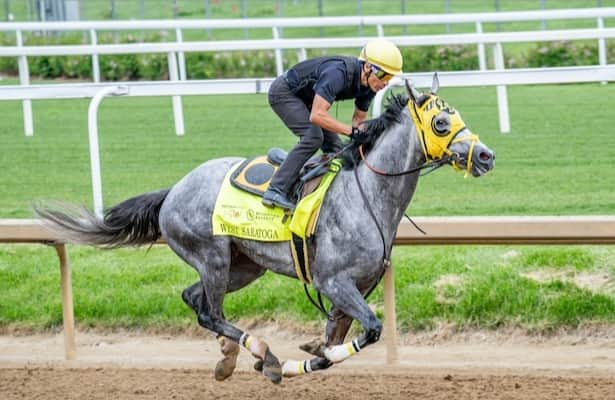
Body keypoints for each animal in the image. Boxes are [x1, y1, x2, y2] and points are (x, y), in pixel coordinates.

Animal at [35, 76, 496, 384]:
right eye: (440, 124)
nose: (486, 156)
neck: (368, 192)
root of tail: (173, 191)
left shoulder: (357, 287)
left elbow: (337, 337)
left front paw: (309, 354)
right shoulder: (333, 281)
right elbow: (371, 331)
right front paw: (289, 363)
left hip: (243, 265)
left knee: (195, 299)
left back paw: (229, 357)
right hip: (213, 255)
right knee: (210, 311)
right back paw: (261, 352)